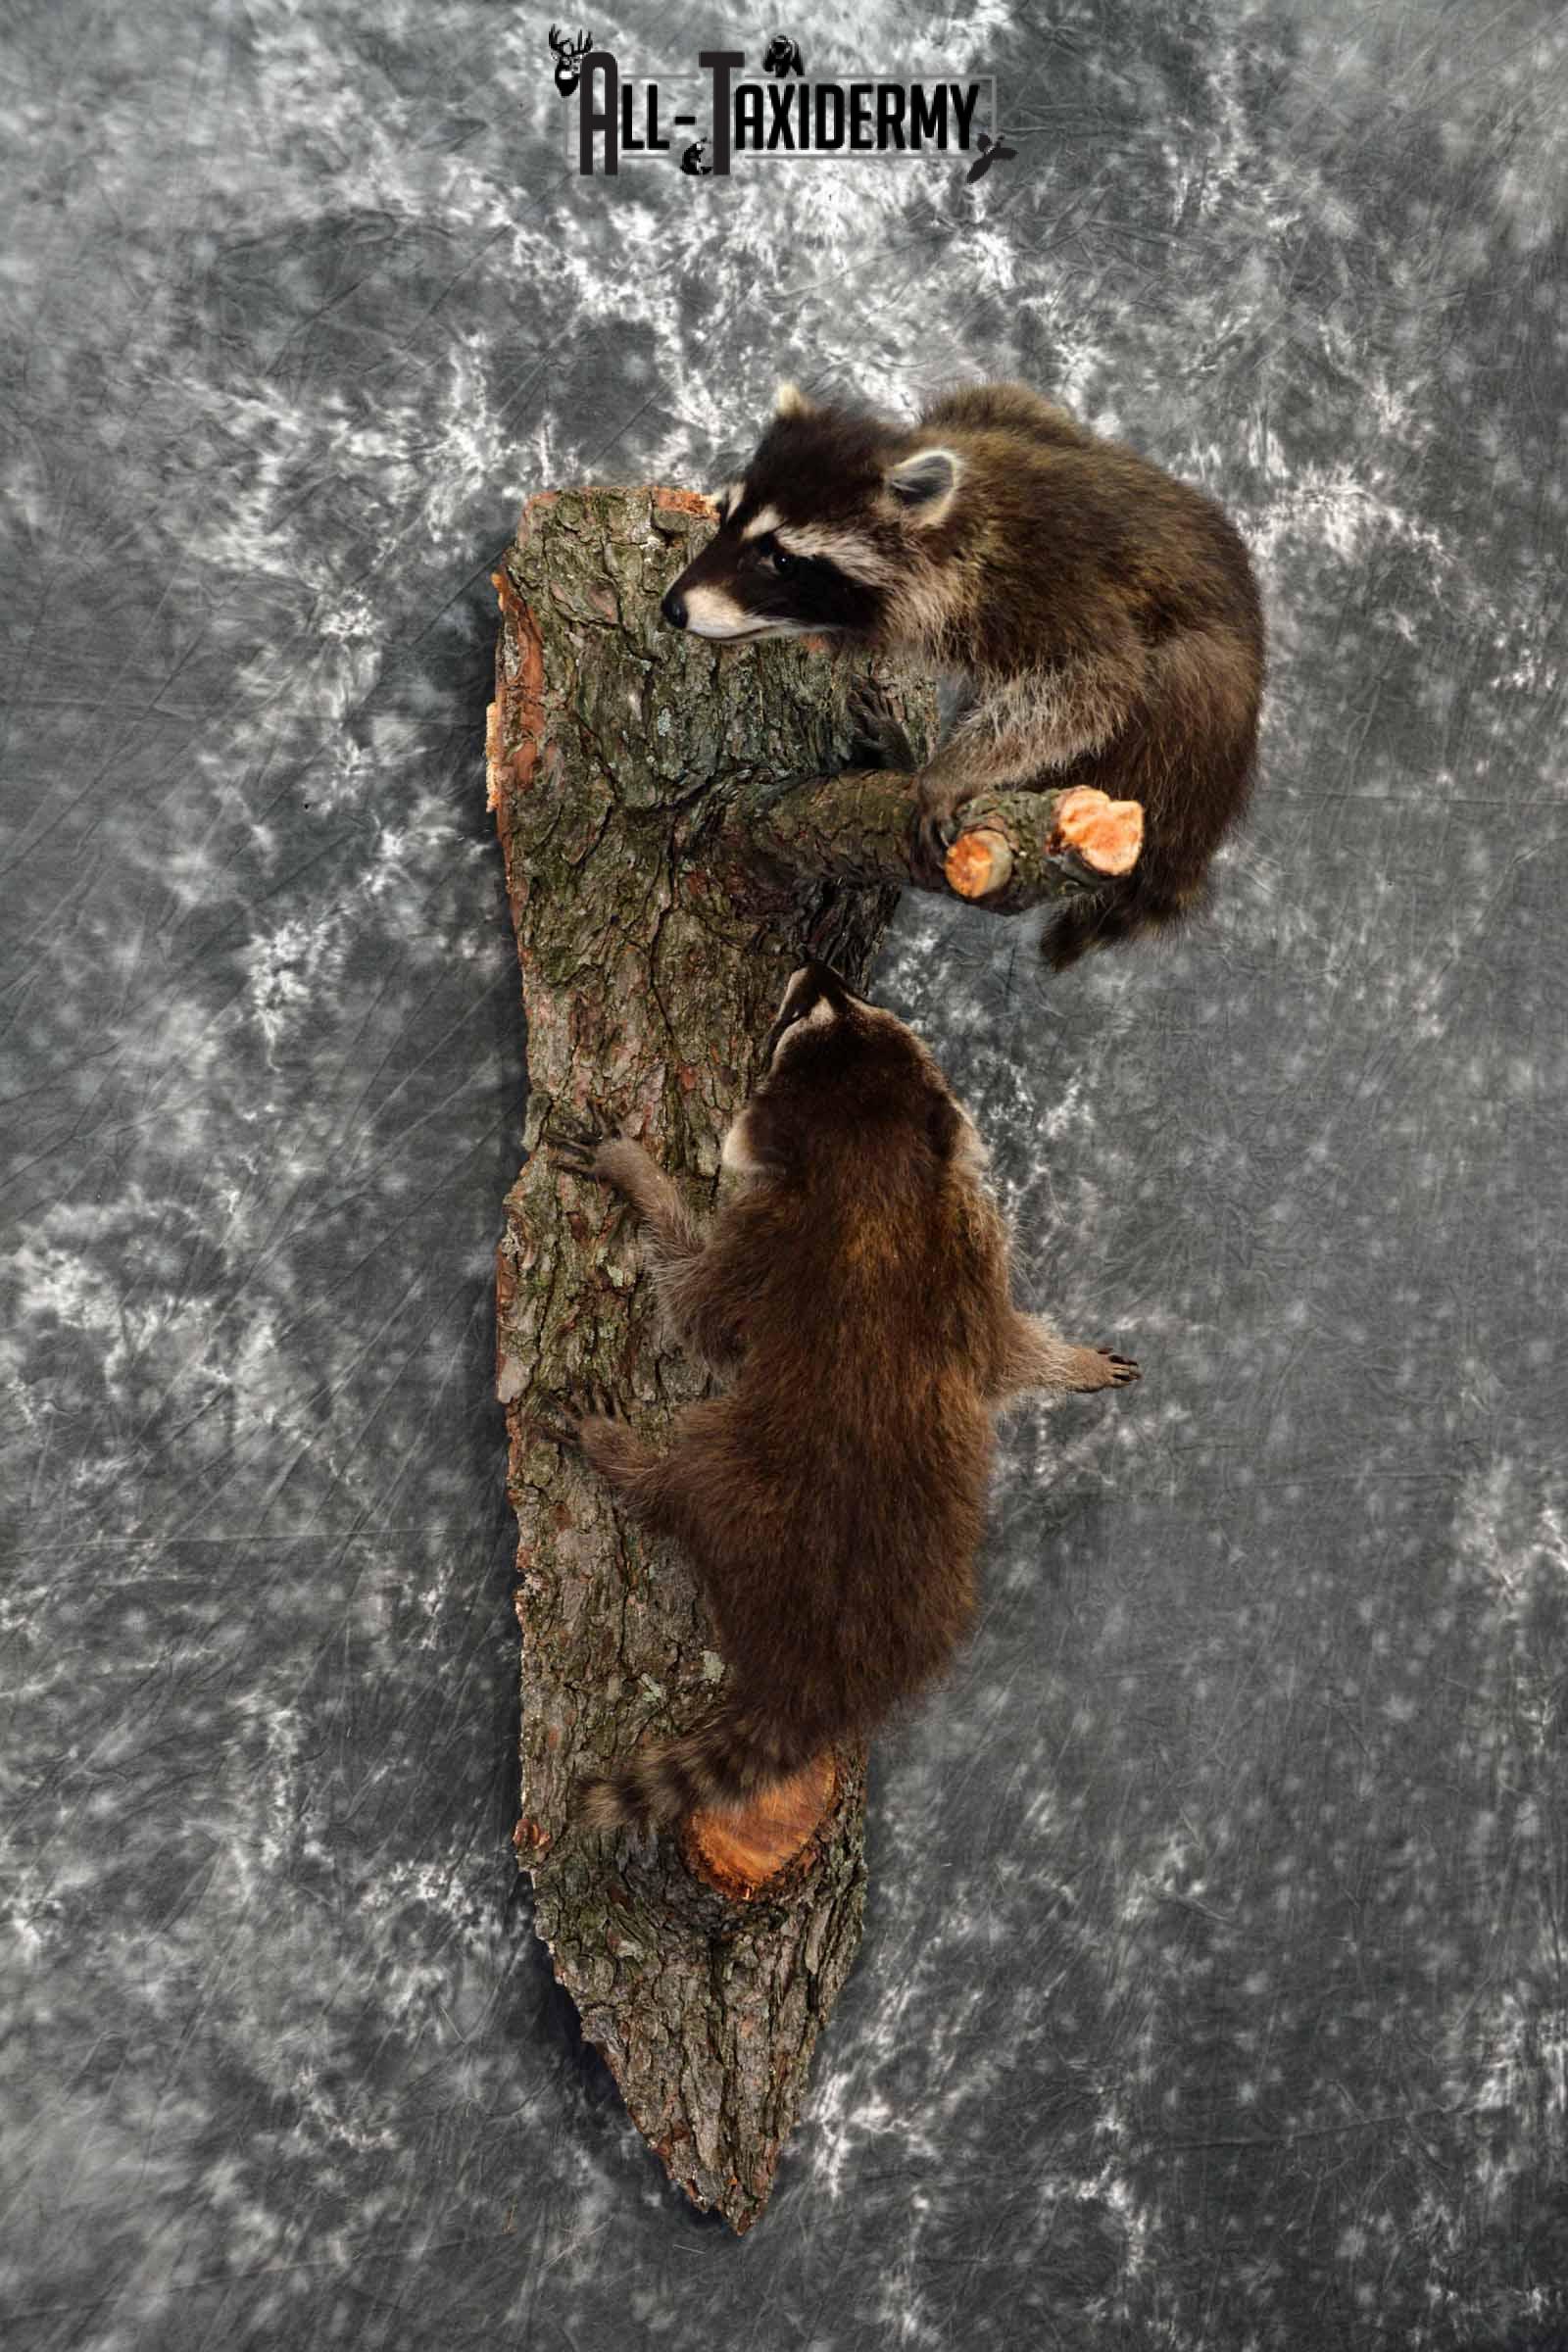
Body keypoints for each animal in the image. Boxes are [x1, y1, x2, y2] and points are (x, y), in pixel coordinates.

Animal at [544, 962, 1139, 1834]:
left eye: (805, 1016)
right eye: (838, 1008)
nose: (820, 969)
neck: (873, 1167)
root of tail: (821, 1682)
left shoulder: (766, 1237)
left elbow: (698, 1311)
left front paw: (643, 1182)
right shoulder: (970, 1243)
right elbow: (1000, 1354)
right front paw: (1065, 1362)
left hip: (732, 1477)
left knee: (685, 1473)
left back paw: (624, 1461)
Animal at [660, 380, 1265, 969]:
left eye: (781, 560)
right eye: (724, 518)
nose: (673, 609)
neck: (949, 528)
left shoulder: (1041, 584)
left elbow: (1095, 682)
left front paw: (948, 772)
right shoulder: (995, 403)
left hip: (1192, 727)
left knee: (1173, 680)